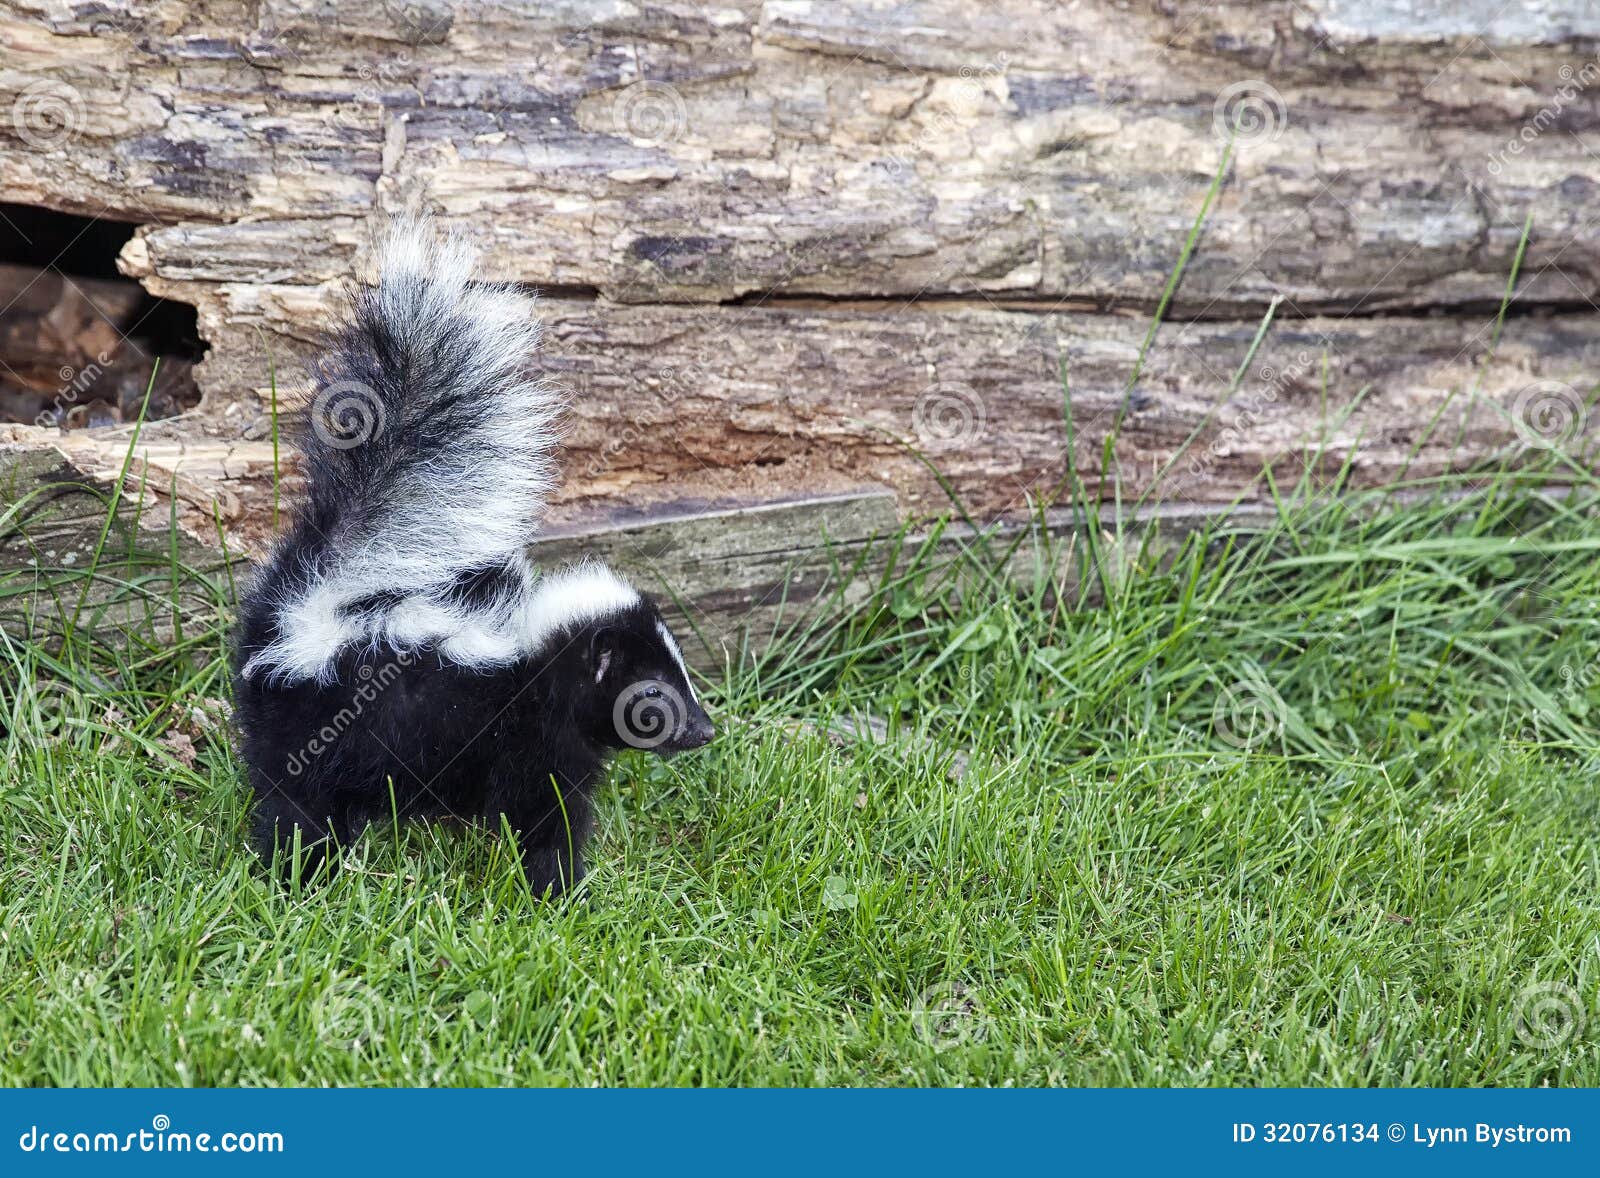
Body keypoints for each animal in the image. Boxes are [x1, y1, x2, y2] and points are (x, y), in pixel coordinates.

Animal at [232, 219, 713, 889]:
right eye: (652, 698)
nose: (705, 729)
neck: (537, 656)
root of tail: (308, 602)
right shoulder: (528, 739)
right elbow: (543, 813)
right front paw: (557, 884)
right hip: (313, 720)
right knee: (295, 799)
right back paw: (303, 867)